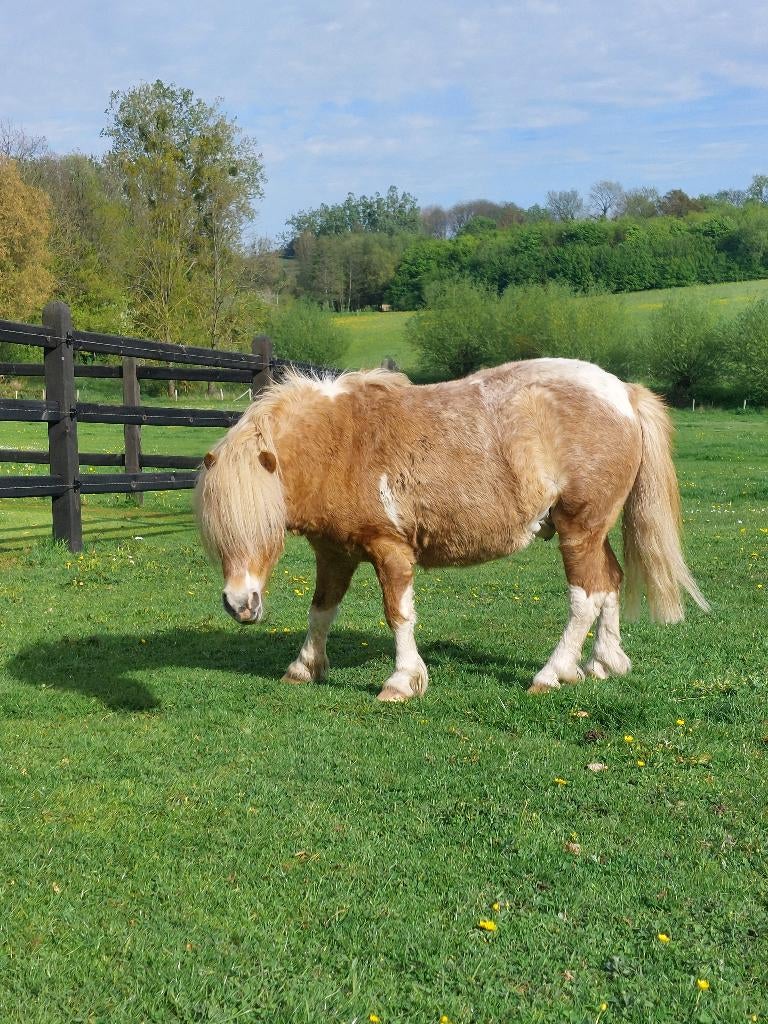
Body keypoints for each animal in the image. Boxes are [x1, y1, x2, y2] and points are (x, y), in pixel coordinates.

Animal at [196, 358, 708, 700]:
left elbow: (398, 615)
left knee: (585, 598)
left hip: (579, 530)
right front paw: (305, 667)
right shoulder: (334, 553)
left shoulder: (390, 550)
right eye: (219, 535)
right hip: (594, 531)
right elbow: (321, 610)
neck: (339, 443)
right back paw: (603, 663)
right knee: (609, 584)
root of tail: (622, 393)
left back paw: (551, 674)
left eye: (260, 526)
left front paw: (402, 682)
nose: (240, 605)